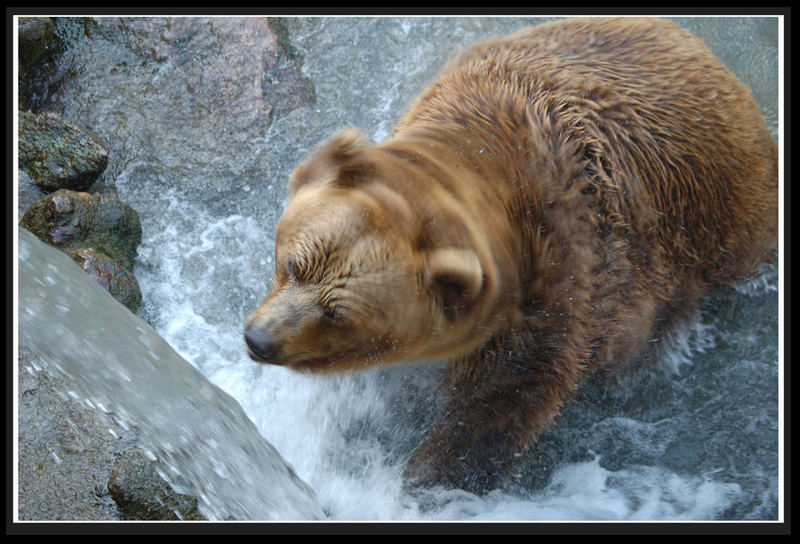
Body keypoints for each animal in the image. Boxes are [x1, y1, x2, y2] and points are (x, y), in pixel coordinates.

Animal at [242, 15, 776, 492]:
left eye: (338, 313)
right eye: (293, 263)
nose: (259, 339)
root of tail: (717, 65)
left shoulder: (561, 276)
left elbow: (504, 397)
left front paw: (427, 477)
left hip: (724, 221)